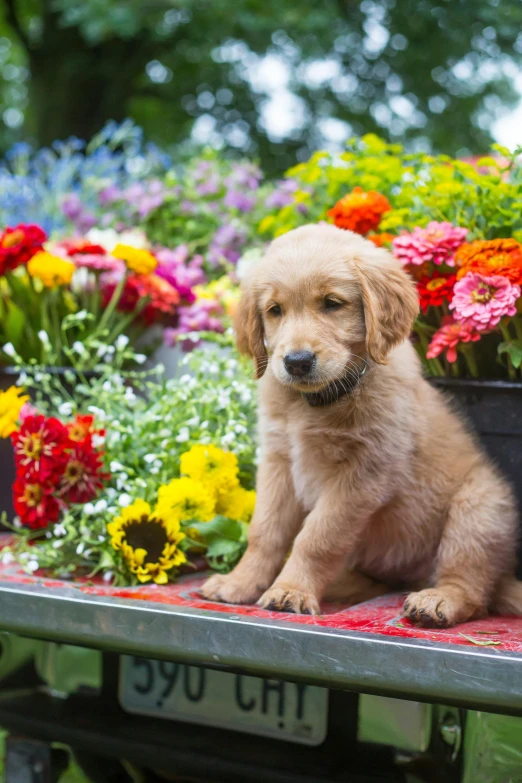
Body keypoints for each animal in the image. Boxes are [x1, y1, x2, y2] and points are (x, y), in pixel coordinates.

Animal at [200, 224, 520, 628]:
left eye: (332, 303)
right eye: (274, 311)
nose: (297, 362)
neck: (317, 402)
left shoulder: (363, 476)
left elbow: (317, 537)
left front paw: (291, 590)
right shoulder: (278, 462)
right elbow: (265, 531)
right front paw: (240, 582)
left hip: (479, 508)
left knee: (473, 591)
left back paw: (438, 600)